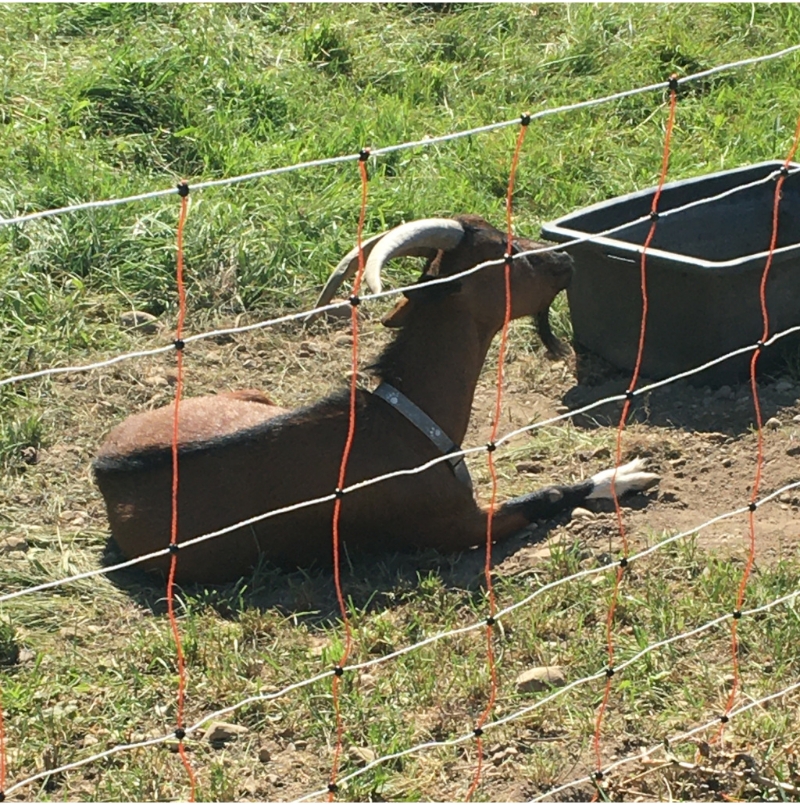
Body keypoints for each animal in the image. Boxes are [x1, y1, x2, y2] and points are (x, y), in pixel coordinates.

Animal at [94, 214, 656, 580]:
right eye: (505, 253)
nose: (564, 258)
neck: (405, 417)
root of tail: (103, 467)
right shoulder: (463, 526)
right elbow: (549, 495)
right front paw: (624, 475)